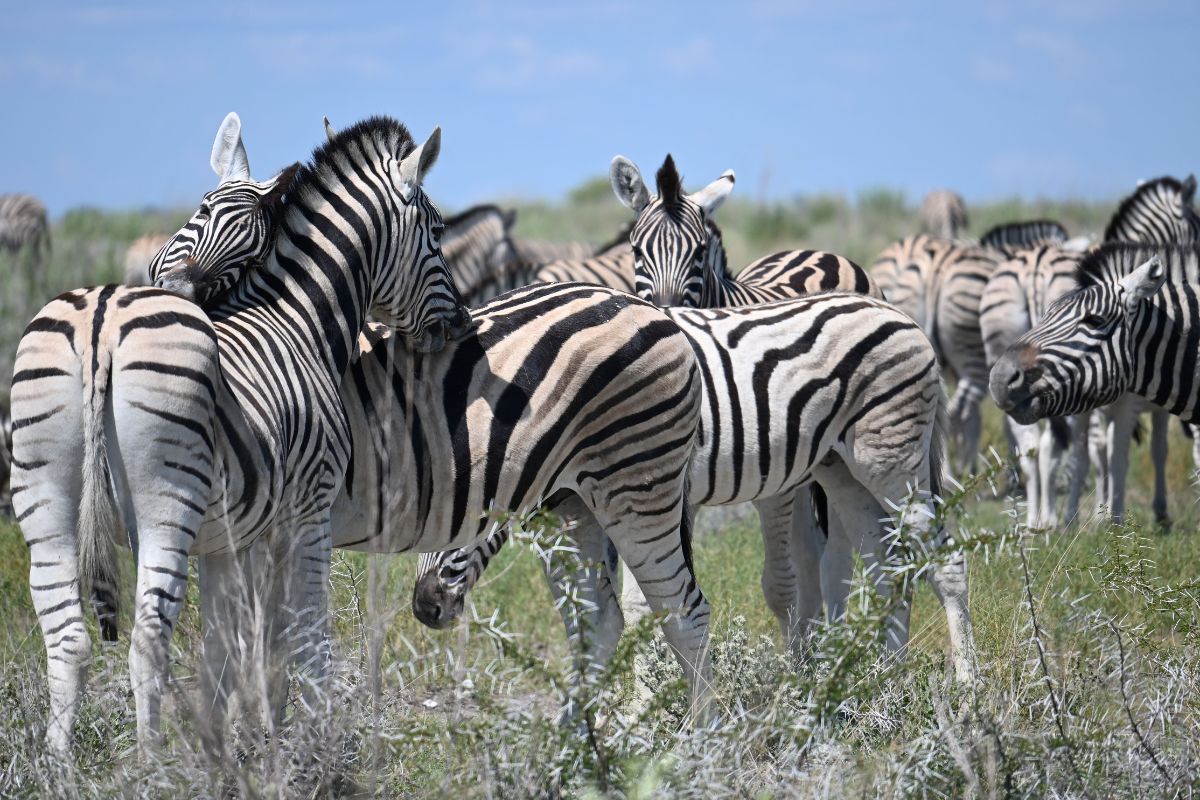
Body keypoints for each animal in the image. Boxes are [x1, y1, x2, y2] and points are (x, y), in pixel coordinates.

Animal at [14, 110, 475, 753]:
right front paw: (310, 744)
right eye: (436, 231)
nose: (461, 324)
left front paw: (234, 744)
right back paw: (152, 763)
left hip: (45, 497)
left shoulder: (230, 539)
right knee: (147, 639)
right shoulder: (307, 512)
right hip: (166, 506)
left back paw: (62, 765)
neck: (298, 319)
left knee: (66, 639)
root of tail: (101, 319)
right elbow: (302, 637)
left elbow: (232, 646)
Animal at [984, 245, 1089, 532]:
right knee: (1055, 448)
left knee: (1030, 448)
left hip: (1005, 375)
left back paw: (1033, 521)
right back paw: (1055, 519)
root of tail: (1036, 265)